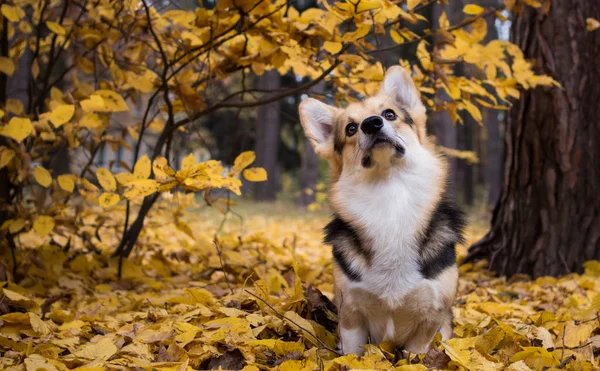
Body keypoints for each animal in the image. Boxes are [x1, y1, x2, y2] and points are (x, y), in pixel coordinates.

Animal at [298, 66, 464, 354]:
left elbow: (415, 354)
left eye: (389, 114)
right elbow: (352, 353)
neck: (390, 196)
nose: (371, 123)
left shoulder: (430, 319)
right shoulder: (351, 313)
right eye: (351, 128)